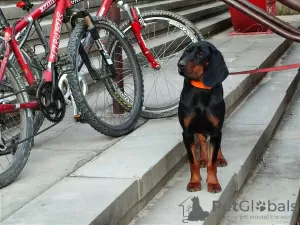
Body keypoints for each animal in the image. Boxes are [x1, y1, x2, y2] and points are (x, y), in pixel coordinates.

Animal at [177, 40, 229, 193]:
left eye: (200, 53)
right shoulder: (187, 132)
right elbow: (193, 162)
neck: (200, 89)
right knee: (202, 140)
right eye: (187, 51)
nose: (180, 64)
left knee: (216, 145)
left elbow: (212, 162)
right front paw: (194, 182)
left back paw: (220, 158)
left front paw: (213, 183)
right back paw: (203, 158)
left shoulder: (216, 130)